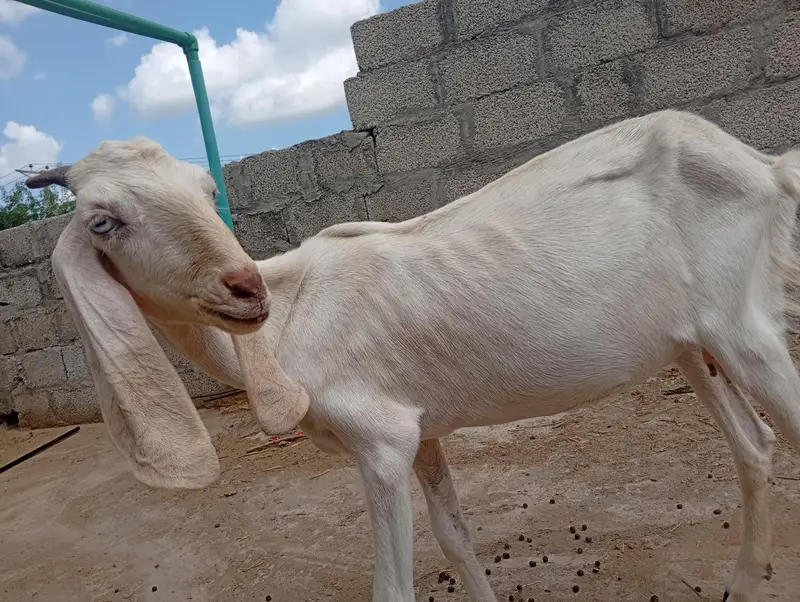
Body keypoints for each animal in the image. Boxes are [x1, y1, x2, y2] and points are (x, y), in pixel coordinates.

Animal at [26, 110, 800, 602]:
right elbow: (456, 540)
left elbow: (394, 588)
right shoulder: (422, 434)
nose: (244, 289)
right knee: (755, 445)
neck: (290, 323)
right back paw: (743, 583)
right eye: (104, 222)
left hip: (744, 326)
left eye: (207, 190)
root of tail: (761, 165)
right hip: (690, 344)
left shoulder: (381, 444)